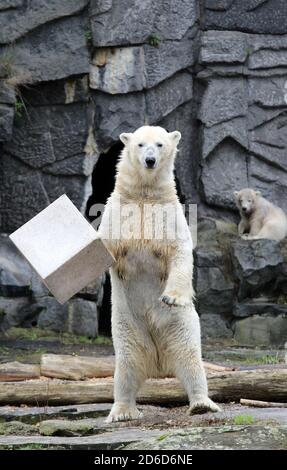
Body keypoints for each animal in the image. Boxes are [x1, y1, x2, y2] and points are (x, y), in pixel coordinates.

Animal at [98, 125, 222, 422]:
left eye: (160, 144)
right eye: (141, 144)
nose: (150, 160)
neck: (145, 195)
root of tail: (157, 362)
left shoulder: (170, 215)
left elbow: (180, 252)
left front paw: (172, 297)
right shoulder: (118, 211)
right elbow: (104, 244)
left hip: (179, 324)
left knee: (190, 358)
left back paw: (201, 404)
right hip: (126, 327)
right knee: (126, 366)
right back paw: (122, 411)